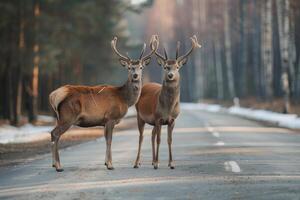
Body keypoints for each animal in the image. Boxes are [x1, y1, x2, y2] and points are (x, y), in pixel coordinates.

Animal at [49, 35, 158, 171]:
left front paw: (106, 162)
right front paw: (110, 165)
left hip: (59, 118)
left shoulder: (104, 121)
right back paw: (58, 166)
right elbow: (110, 140)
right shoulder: (111, 117)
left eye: (141, 67)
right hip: (67, 117)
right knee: (55, 133)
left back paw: (54, 164)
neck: (125, 99)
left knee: (53, 134)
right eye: (129, 68)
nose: (135, 75)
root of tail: (55, 95)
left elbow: (106, 139)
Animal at [133, 35, 199, 169]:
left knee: (152, 135)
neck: (168, 108)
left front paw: (171, 163)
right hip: (140, 116)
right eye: (165, 67)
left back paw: (152, 160)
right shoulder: (158, 118)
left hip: (152, 121)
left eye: (177, 67)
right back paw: (138, 163)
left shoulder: (172, 120)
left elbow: (169, 140)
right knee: (141, 137)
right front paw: (157, 163)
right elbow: (159, 139)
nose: (170, 75)